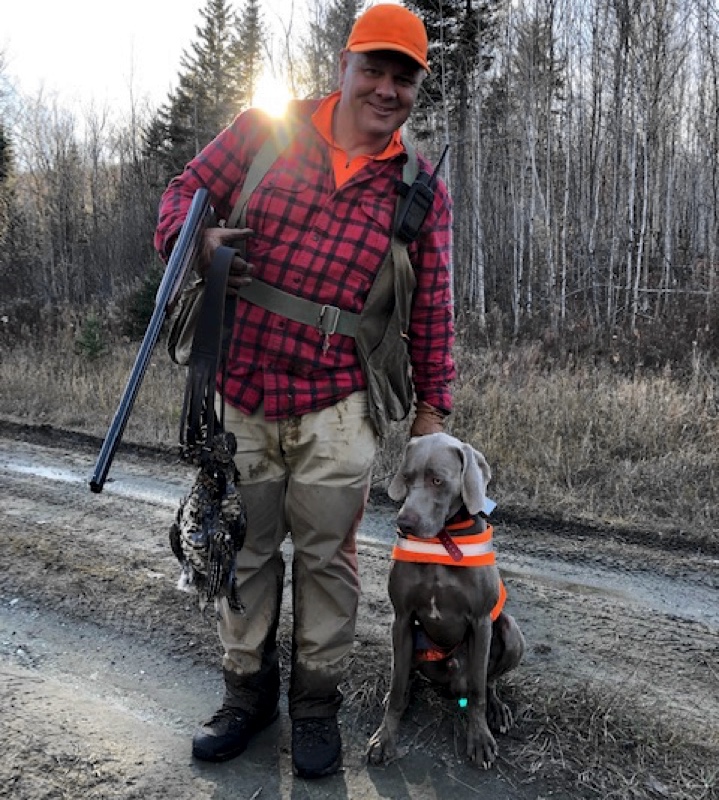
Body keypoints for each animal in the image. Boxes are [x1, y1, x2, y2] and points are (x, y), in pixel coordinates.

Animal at [368, 434, 524, 772]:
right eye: (407, 478)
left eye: (437, 480)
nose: (403, 523)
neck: (442, 540)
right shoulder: (402, 617)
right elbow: (396, 685)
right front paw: (384, 738)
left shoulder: (481, 621)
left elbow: (478, 691)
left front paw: (479, 739)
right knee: (405, 673)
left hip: (510, 632)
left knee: (487, 681)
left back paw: (497, 709)